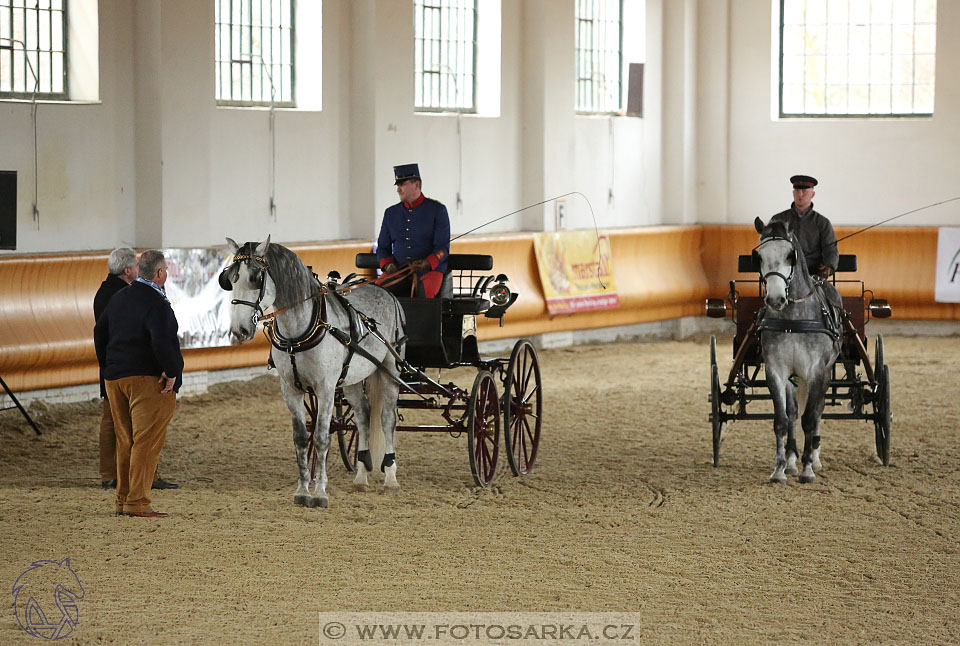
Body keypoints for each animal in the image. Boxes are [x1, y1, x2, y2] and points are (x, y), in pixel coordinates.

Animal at [221, 238, 404, 512]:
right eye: (230, 279)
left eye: (255, 278)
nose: (239, 330)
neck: (299, 332)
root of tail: (385, 291)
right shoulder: (290, 389)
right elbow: (300, 438)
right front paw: (302, 490)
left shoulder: (326, 388)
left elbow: (321, 438)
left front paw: (319, 493)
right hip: (351, 379)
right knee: (362, 417)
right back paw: (361, 477)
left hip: (390, 369)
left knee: (387, 419)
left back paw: (390, 479)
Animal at [752, 219, 840, 486]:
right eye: (759, 256)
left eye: (790, 255)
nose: (776, 299)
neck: (793, 320)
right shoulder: (776, 371)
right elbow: (782, 420)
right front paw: (779, 470)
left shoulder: (817, 371)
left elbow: (810, 418)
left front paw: (808, 469)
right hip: (793, 378)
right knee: (792, 413)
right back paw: (792, 461)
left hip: (825, 373)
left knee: (818, 409)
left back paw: (815, 458)